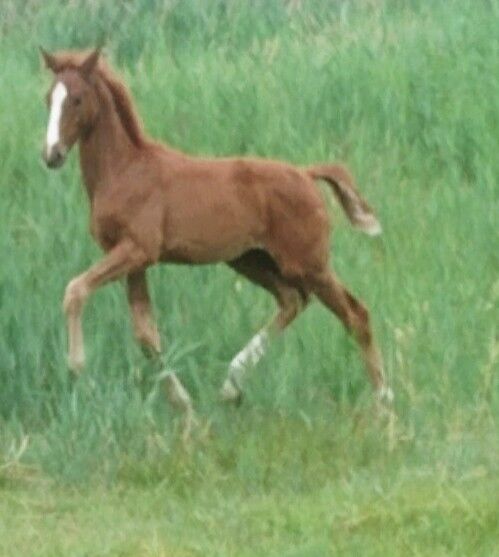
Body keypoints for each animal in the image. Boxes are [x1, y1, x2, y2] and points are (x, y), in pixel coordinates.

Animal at [41, 47, 392, 438]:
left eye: (76, 99)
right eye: (48, 99)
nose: (52, 154)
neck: (124, 170)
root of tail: (306, 174)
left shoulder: (136, 250)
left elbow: (75, 290)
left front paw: (77, 368)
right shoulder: (133, 259)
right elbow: (146, 334)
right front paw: (187, 410)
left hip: (308, 263)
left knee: (356, 314)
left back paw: (384, 402)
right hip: (251, 260)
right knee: (292, 300)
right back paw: (230, 386)